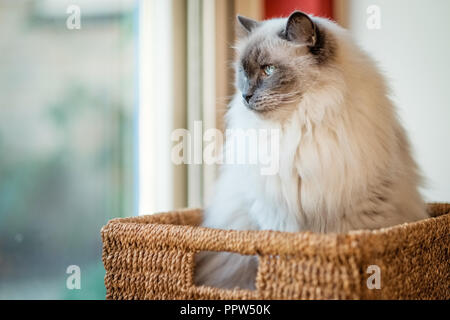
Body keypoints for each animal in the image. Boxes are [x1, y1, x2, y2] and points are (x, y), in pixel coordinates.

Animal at [194, 10, 428, 290]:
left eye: (268, 70)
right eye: (243, 71)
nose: (245, 96)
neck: (298, 125)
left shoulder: (358, 214)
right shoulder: (276, 214)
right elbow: (279, 253)